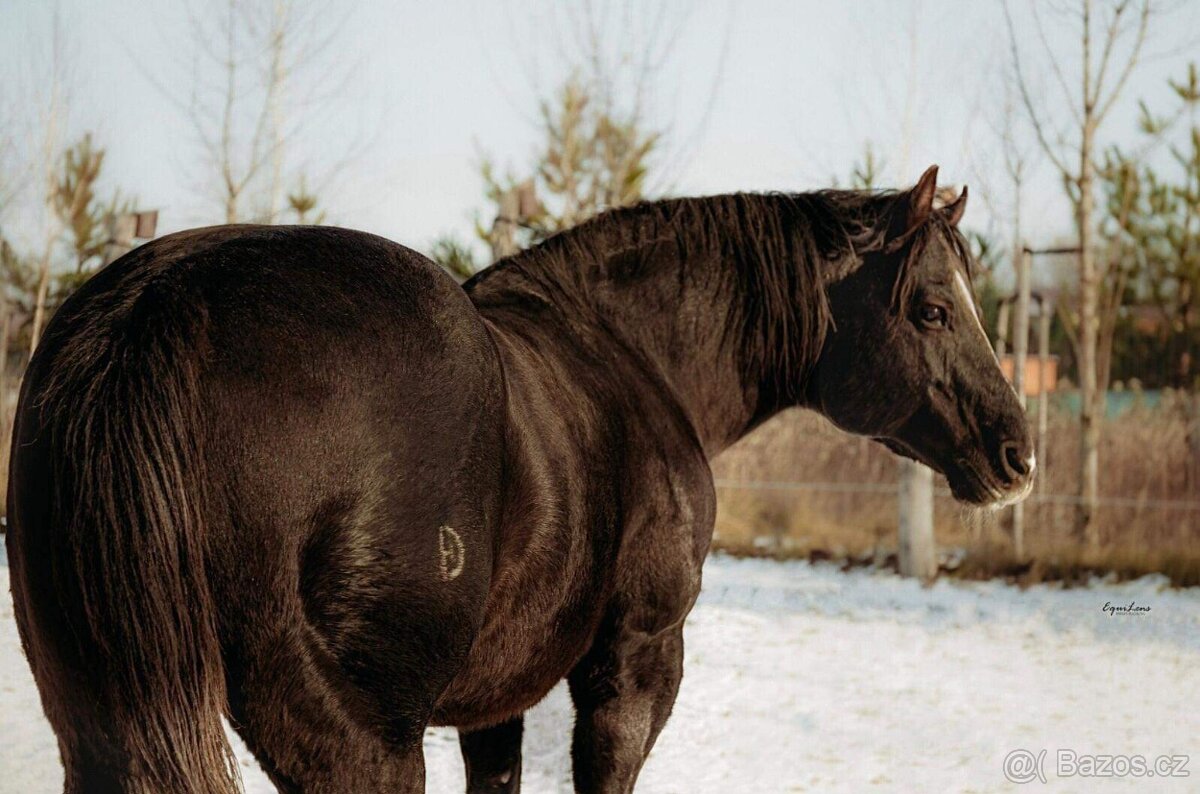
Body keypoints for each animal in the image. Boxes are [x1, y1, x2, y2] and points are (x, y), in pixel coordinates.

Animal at [6, 165, 1033, 793]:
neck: (632, 355)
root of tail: (160, 307)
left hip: (100, 722)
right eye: (933, 309)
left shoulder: (495, 699)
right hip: (361, 744)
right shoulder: (635, 664)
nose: (1018, 454)